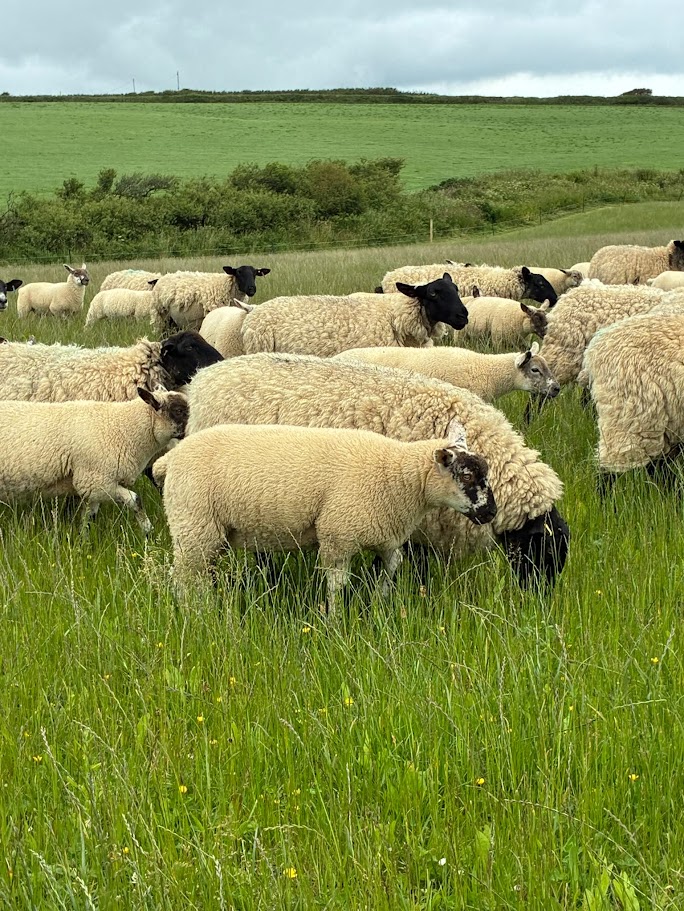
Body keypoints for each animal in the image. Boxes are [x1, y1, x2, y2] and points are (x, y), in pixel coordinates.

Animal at [0, 388, 188, 533]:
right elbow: (136, 500)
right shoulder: (96, 481)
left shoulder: (92, 488)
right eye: (178, 410)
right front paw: (148, 532)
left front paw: (83, 544)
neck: (123, 428)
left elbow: (88, 517)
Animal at [153, 422, 497, 612]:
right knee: (182, 579)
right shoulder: (338, 535)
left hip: (207, 532)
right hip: (193, 524)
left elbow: (391, 568)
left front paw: (380, 604)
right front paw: (333, 623)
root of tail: (170, 458)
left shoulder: (386, 534)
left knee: (198, 576)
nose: (491, 512)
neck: (396, 475)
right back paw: (195, 616)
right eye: (466, 475)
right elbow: (336, 586)